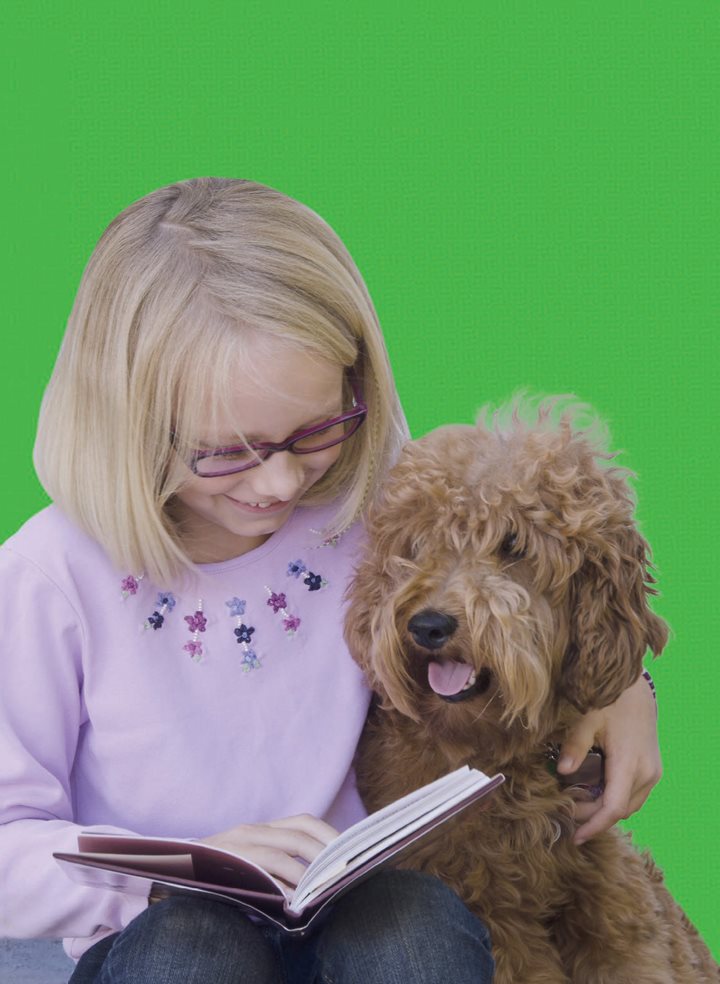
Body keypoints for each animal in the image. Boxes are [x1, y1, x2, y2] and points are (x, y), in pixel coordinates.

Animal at [346, 402, 716, 984]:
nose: (428, 625)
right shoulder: (489, 911)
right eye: (419, 546)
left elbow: (630, 949)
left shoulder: (609, 882)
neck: (502, 757)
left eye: (513, 545)